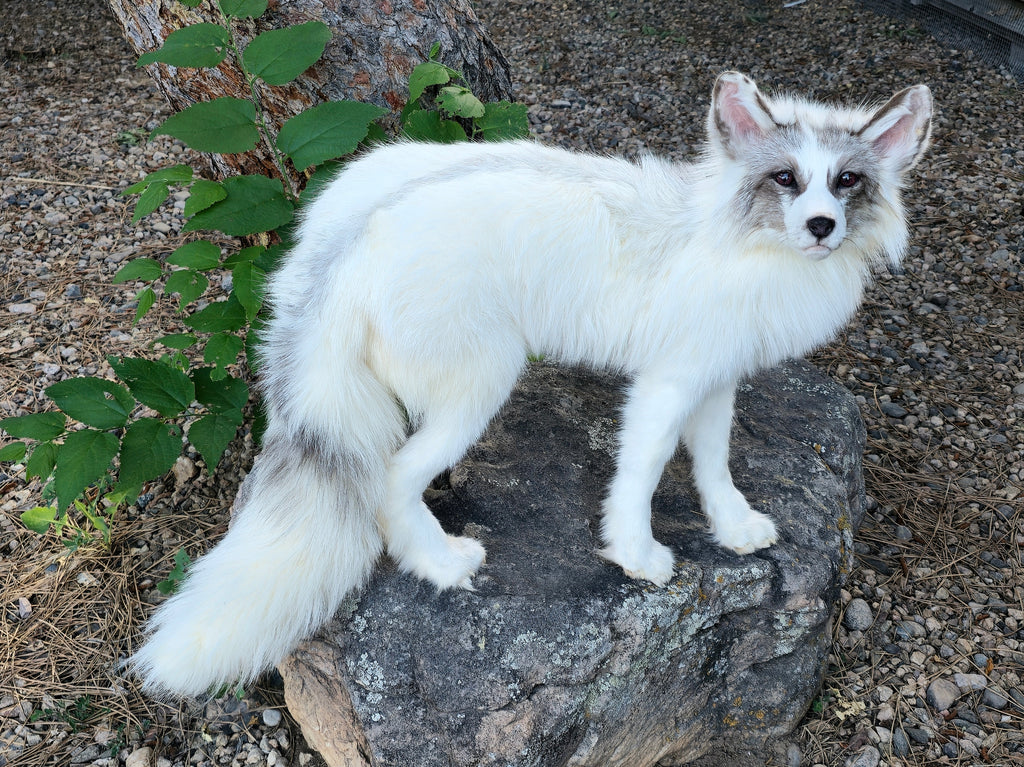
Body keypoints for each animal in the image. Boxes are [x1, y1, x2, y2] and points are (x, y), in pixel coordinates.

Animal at [132, 72, 932, 697]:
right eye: (786, 179)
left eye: (848, 181)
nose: (823, 225)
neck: (733, 235)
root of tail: (343, 255)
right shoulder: (667, 383)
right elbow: (643, 472)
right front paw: (635, 554)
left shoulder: (713, 375)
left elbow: (713, 464)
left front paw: (732, 528)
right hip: (481, 382)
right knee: (391, 481)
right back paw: (440, 564)